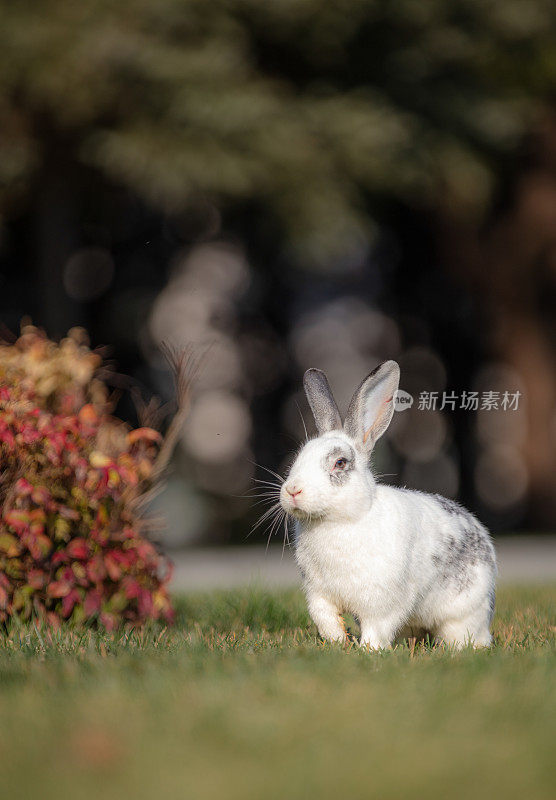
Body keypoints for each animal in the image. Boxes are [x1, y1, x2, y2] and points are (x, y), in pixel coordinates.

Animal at [280, 362, 498, 648]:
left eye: (340, 463)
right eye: (298, 457)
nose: (293, 490)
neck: (340, 521)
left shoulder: (381, 603)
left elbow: (376, 628)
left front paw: (367, 650)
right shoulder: (319, 594)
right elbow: (325, 618)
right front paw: (339, 641)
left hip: (464, 614)